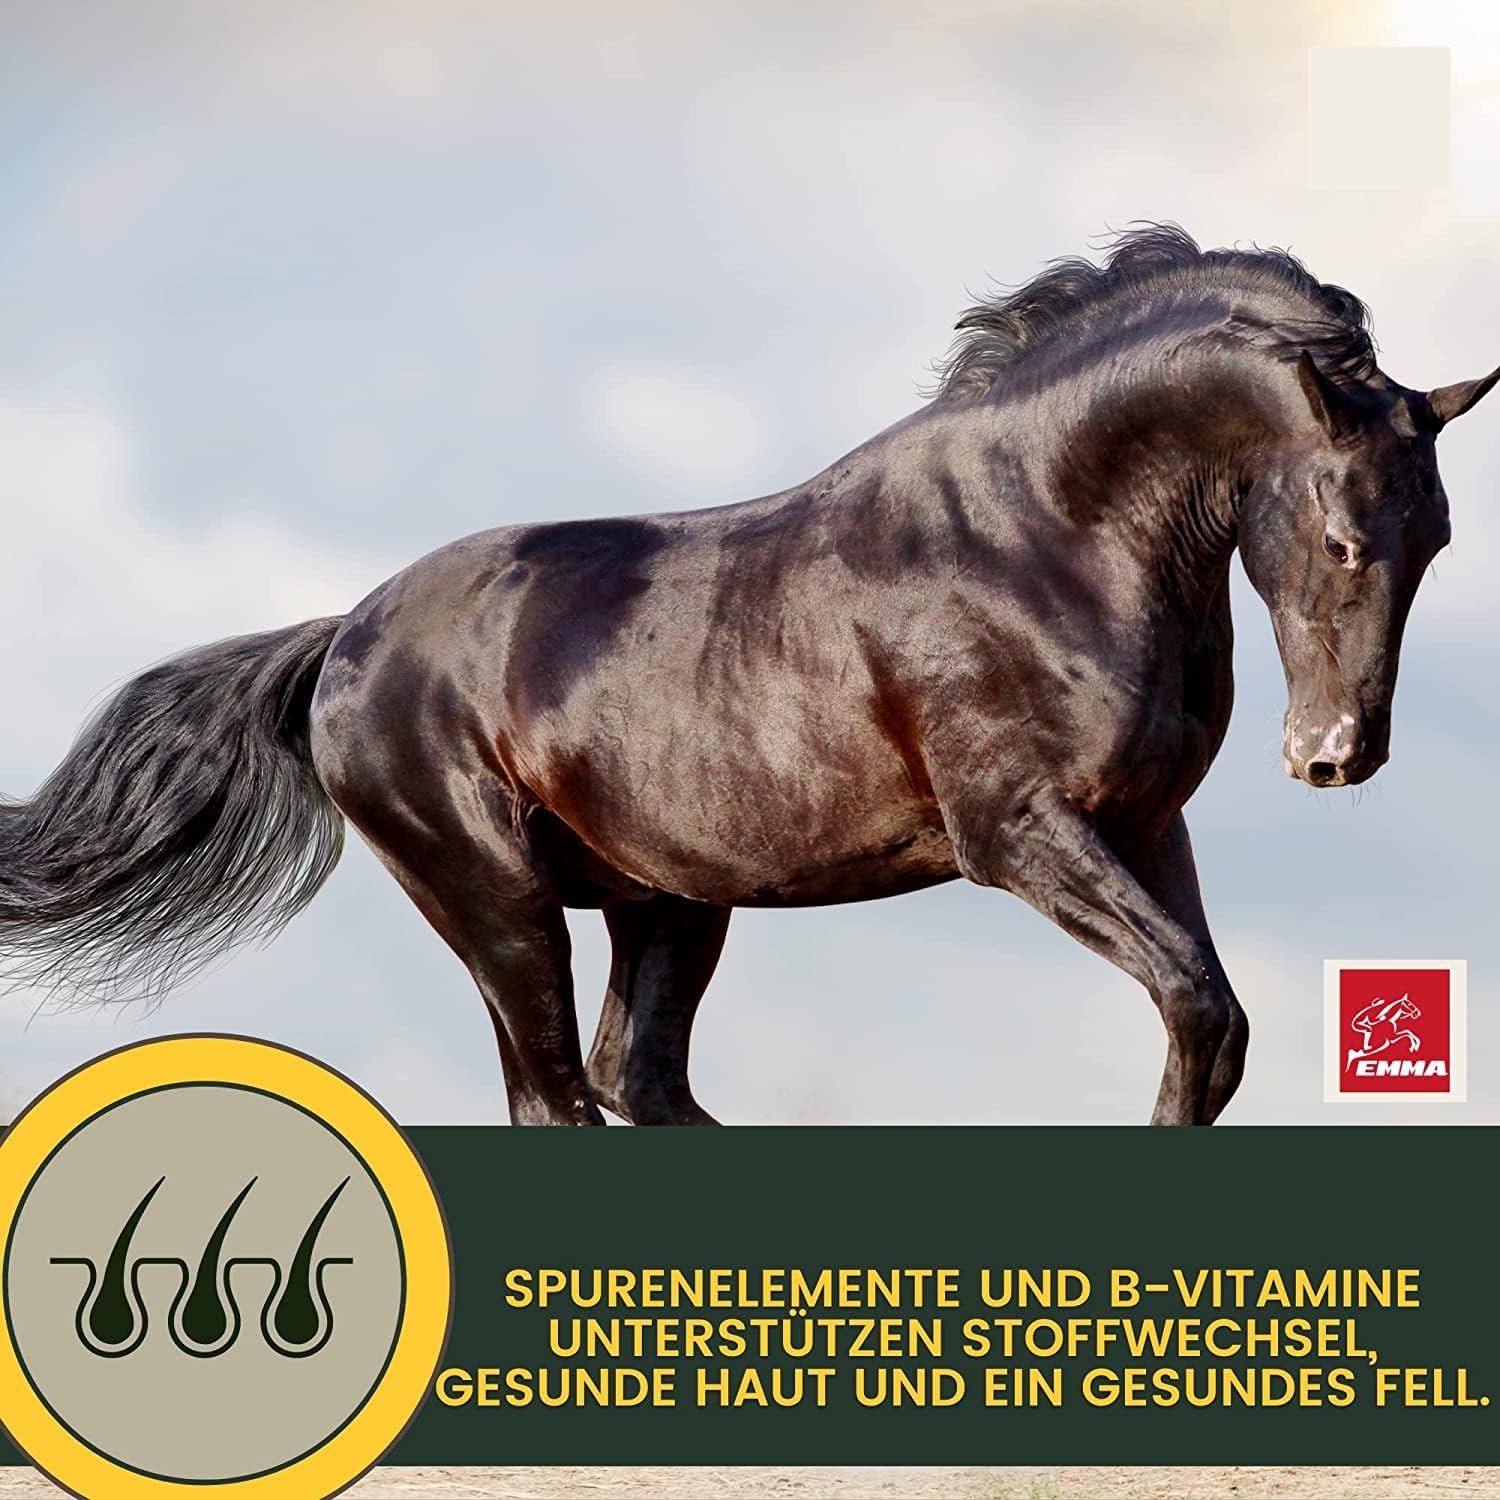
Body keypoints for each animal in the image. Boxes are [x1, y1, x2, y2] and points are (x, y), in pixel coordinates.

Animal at [1, 225, 1493, 1126]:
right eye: (1347, 538)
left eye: (1438, 539)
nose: (1336, 754)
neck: (1046, 532)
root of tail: (347, 638)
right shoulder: (1018, 835)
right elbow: (1192, 1001)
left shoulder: (1143, 825)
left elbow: (1209, 1027)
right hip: (494, 898)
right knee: (556, 1091)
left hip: (665, 901)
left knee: (633, 1077)